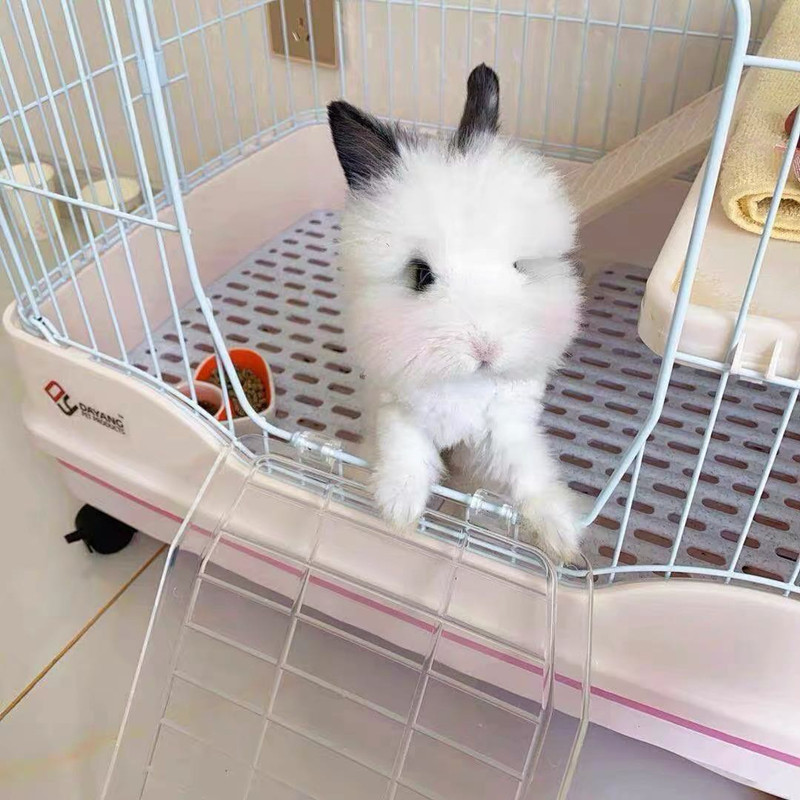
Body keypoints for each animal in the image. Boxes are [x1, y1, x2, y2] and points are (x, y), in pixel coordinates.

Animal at [327, 64, 584, 561]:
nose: (486, 349)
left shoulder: (506, 427)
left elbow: (530, 473)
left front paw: (563, 539)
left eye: (519, 266)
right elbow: (405, 454)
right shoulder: (397, 410)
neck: (465, 383)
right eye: (421, 275)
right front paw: (399, 512)